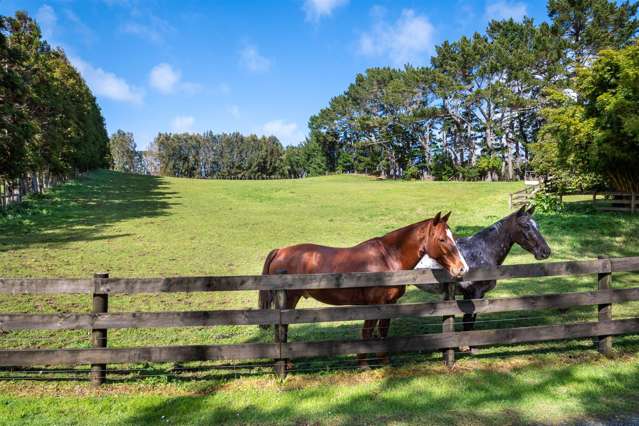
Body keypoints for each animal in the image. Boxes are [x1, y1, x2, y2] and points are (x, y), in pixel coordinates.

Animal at [260, 212, 470, 366]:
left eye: (453, 237)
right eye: (442, 239)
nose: (462, 268)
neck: (387, 257)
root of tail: (280, 251)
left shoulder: (389, 304)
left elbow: (383, 331)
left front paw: (383, 360)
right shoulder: (374, 304)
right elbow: (367, 332)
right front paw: (363, 363)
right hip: (289, 299)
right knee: (281, 328)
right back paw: (285, 363)